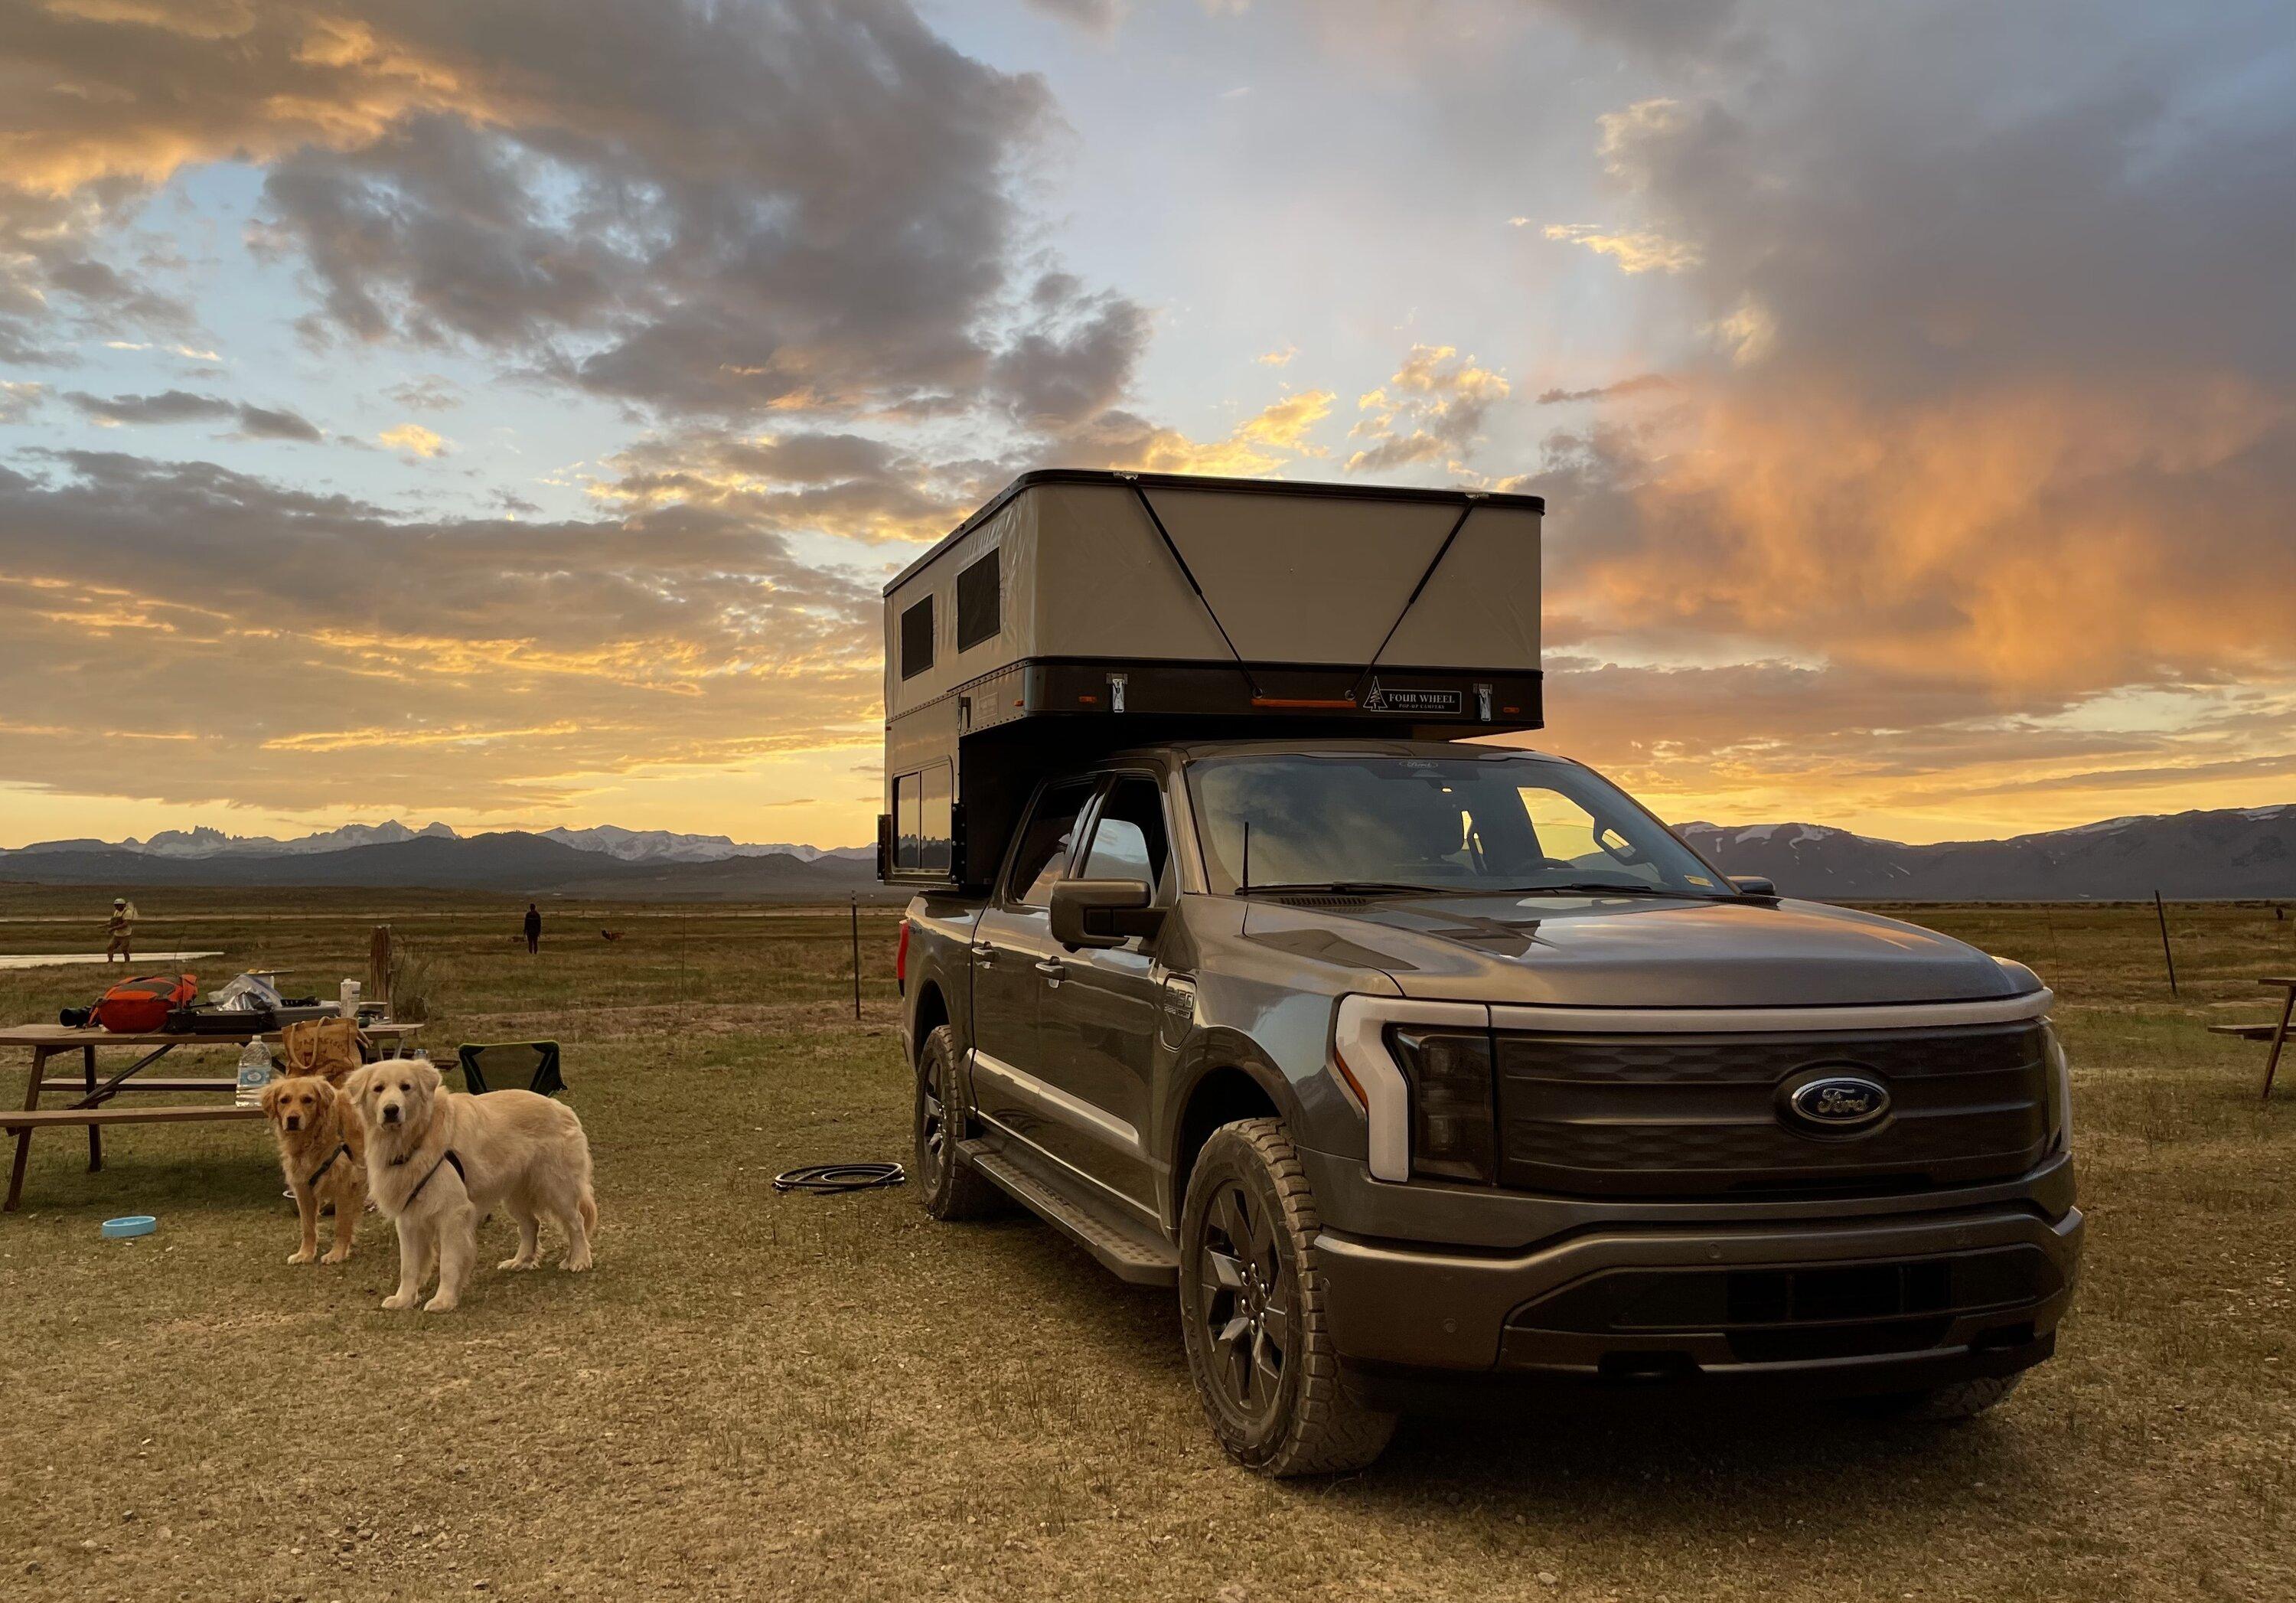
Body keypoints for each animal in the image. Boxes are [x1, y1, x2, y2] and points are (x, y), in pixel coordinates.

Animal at [262, 1075, 367, 1259]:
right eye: (284, 1100)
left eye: (307, 1100)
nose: (293, 1119)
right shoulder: (303, 1188)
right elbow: (307, 1226)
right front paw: (305, 1254)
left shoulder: (345, 1186)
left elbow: (341, 1224)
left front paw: (337, 1253)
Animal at [349, 1056, 597, 1304]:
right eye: (378, 1088)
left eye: (406, 1087)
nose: (391, 1110)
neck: (417, 1137)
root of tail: (560, 1107)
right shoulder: (408, 1216)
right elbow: (408, 1266)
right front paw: (403, 1300)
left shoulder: (452, 1212)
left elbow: (448, 1264)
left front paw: (443, 1301)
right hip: (514, 1194)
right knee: (531, 1225)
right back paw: (520, 1261)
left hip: (556, 1188)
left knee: (576, 1222)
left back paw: (579, 1260)